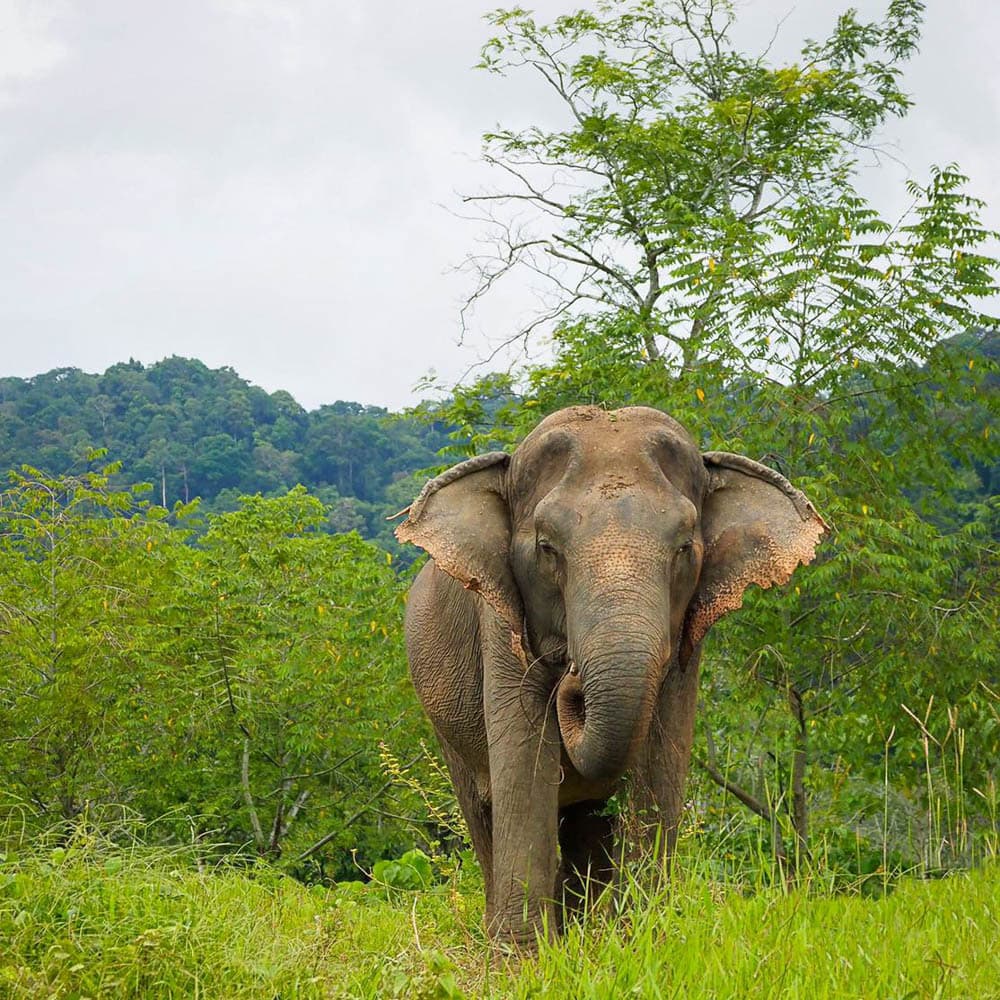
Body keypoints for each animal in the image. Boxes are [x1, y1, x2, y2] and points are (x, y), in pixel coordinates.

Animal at [395, 405, 826, 949]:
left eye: (685, 547)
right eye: (546, 547)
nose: (573, 681)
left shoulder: (685, 643)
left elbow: (661, 762)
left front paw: (642, 943)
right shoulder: (500, 622)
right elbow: (524, 761)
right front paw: (522, 960)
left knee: (587, 824)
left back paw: (578, 937)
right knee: (483, 809)